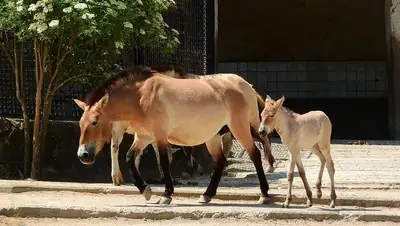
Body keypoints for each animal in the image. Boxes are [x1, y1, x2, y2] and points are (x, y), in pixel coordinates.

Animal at [72, 65, 272, 205]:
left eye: (95, 121)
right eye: (80, 123)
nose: (83, 155)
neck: (140, 96)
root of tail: (244, 87)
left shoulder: (160, 136)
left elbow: (163, 162)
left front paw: (166, 195)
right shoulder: (144, 136)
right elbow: (129, 157)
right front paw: (145, 190)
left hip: (240, 128)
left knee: (255, 154)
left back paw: (264, 194)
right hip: (213, 137)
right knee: (221, 160)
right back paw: (206, 195)